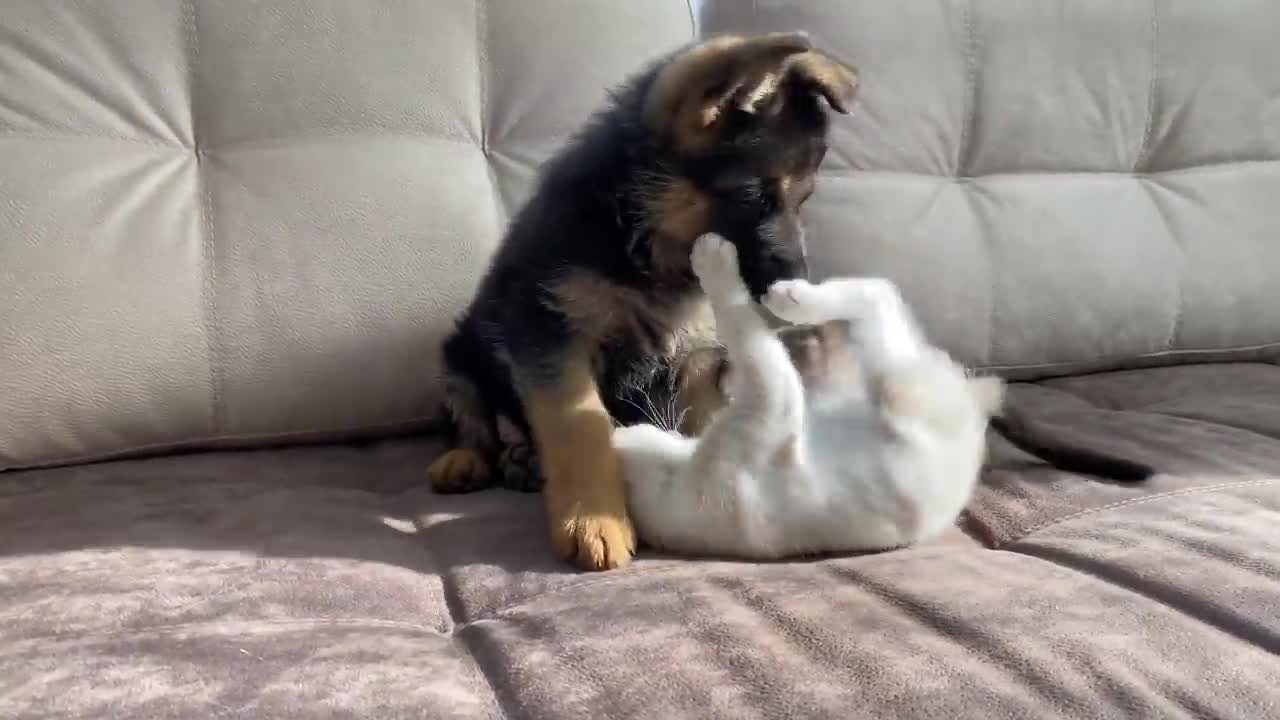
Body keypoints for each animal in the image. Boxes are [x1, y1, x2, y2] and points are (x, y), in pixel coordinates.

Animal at [424, 33, 855, 568]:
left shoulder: (695, 358)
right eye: (755, 196)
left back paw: (521, 460)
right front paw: (593, 519)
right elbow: (578, 427)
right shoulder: (553, 334)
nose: (798, 283)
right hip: (457, 352)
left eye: (804, 199)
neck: (644, 245)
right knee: (472, 415)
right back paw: (469, 457)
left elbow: (700, 422)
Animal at [614, 233, 1003, 558]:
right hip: (895, 378)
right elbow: (743, 329)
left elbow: (740, 336)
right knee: (881, 298)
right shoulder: (771, 400)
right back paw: (789, 298)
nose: (665, 429)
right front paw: (715, 261)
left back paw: (792, 298)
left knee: (881, 293)